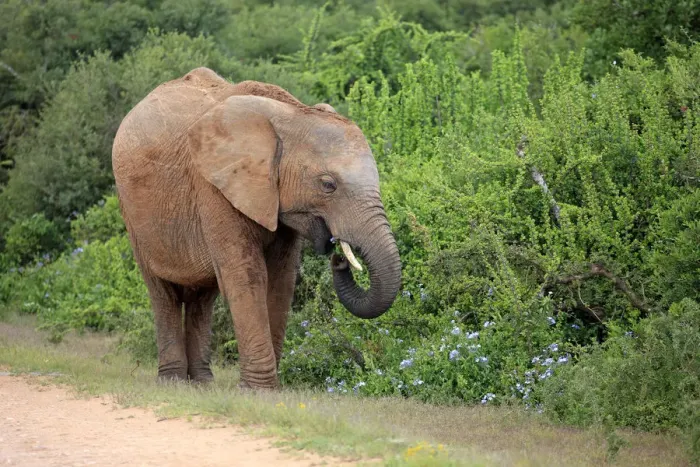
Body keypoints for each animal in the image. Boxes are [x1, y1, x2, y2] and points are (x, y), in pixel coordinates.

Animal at [112, 67, 401, 389]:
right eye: (328, 185)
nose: (338, 258)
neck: (292, 114)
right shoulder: (214, 185)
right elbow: (248, 275)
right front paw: (258, 390)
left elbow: (281, 279)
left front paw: (267, 389)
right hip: (133, 213)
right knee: (163, 293)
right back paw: (173, 382)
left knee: (203, 297)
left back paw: (202, 383)